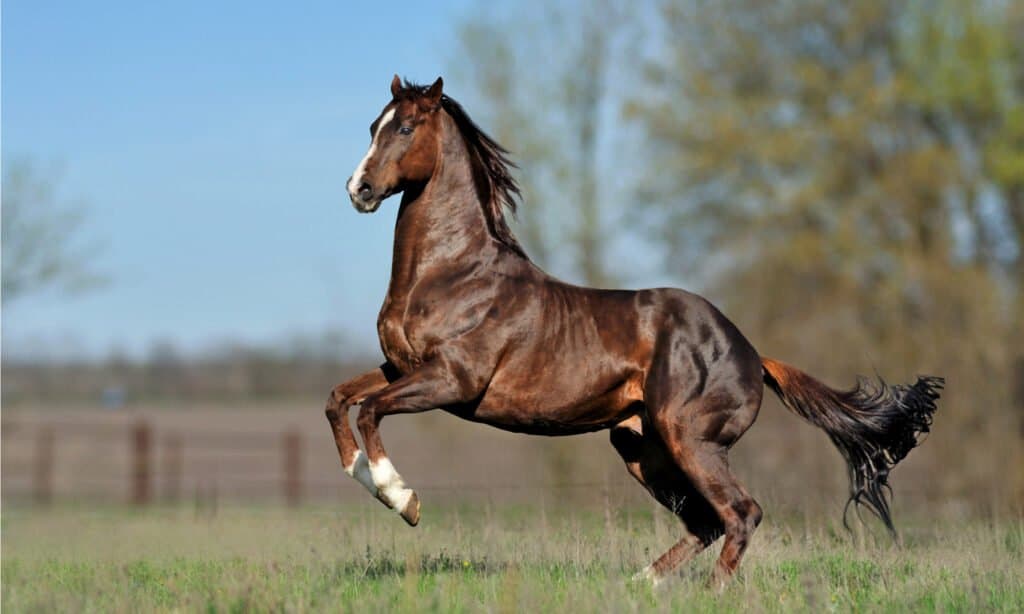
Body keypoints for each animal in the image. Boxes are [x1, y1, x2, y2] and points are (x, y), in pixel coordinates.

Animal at [327, 74, 942, 589]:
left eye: (406, 127)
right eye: (373, 126)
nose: (358, 190)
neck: (454, 273)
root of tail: (753, 354)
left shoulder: (452, 381)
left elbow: (371, 410)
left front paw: (402, 499)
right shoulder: (401, 368)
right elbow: (339, 400)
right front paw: (365, 477)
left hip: (690, 439)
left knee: (741, 514)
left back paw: (709, 593)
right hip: (641, 447)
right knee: (705, 523)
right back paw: (640, 583)